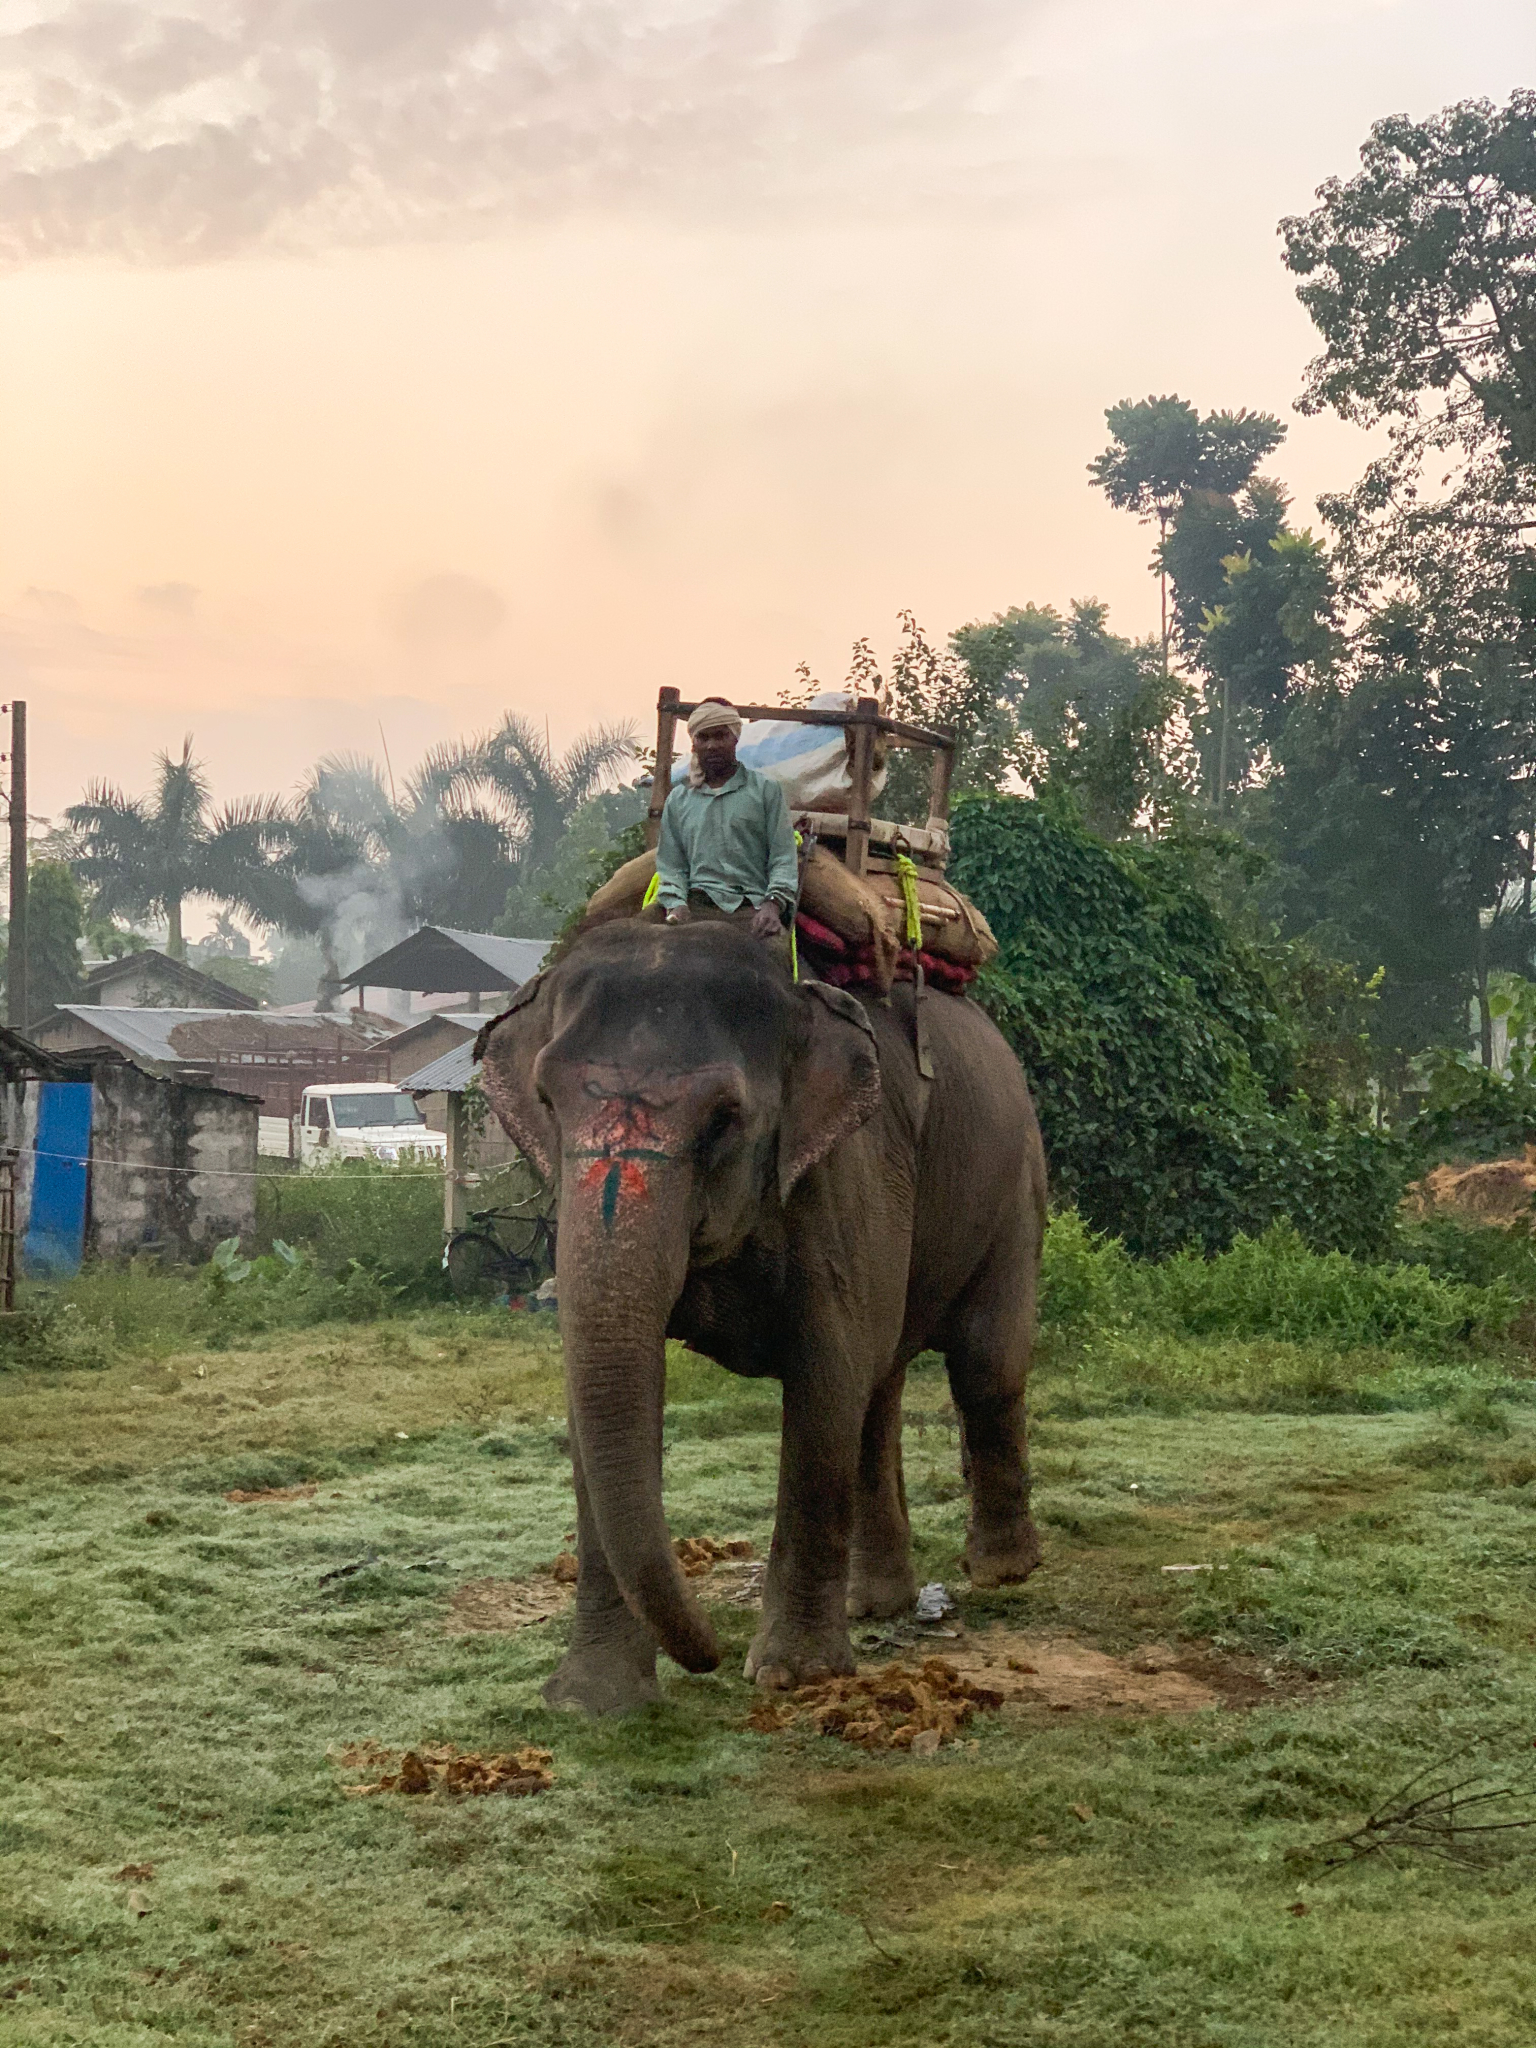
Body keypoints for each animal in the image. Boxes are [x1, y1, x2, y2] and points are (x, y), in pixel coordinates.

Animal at [481, 913, 1048, 1712]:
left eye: (725, 1120)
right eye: (549, 1101)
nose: (709, 1657)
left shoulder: (846, 1169)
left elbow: (825, 1376)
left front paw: (791, 1676)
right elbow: (601, 1397)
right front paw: (591, 1704)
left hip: (1013, 1174)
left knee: (982, 1360)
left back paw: (1002, 1572)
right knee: (881, 1384)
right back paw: (876, 1605)